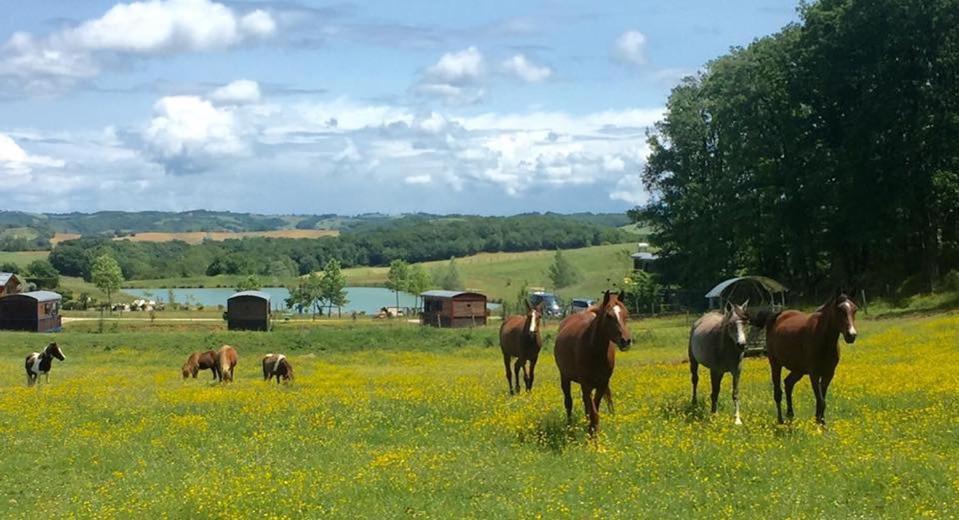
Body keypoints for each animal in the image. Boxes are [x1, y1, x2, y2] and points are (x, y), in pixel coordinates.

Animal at [552, 292, 632, 434]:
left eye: (625, 314)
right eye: (609, 316)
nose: (626, 341)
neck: (594, 350)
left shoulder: (602, 383)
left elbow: (595, 409)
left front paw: (592, 430)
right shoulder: (586, 384)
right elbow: (593, 412)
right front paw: (593, 435)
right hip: (565, 377)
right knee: (568, 402)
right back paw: (570, 426)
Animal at [756, 290, 864, 424]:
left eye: (854, 309)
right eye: (839, 309)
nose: (851, 335)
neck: (823, 340)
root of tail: (776, 316)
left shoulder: (828, 374)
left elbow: (821, 401)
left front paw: (821, 423)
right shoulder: (814, 374)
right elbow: (821, 401)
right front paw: (819, 424)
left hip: (798, 370)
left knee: (788, 383)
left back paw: (790, 415)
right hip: (775, 364)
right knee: (778, 393)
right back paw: (781, 421)